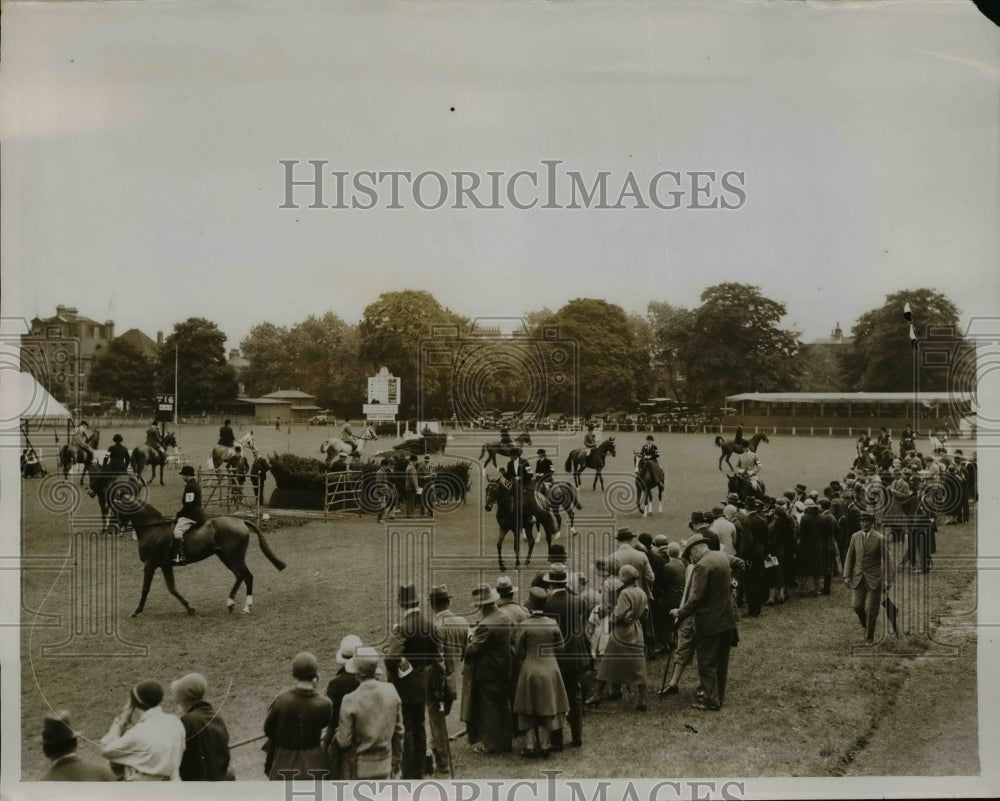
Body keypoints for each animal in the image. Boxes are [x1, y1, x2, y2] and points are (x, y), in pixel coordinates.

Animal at [98, 476, 288, 620]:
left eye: (117, 510)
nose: (110, 530)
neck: (151, 528)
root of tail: (240, 521)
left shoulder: (150, 565)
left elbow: (145, 589)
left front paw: (136, 611)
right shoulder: (165, 565)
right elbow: (172, 589)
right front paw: (189, 608)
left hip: (234, 557)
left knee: (247, 576)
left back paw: (246, 607)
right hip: (225, 557)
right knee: (239, 576)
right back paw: (230, 603)